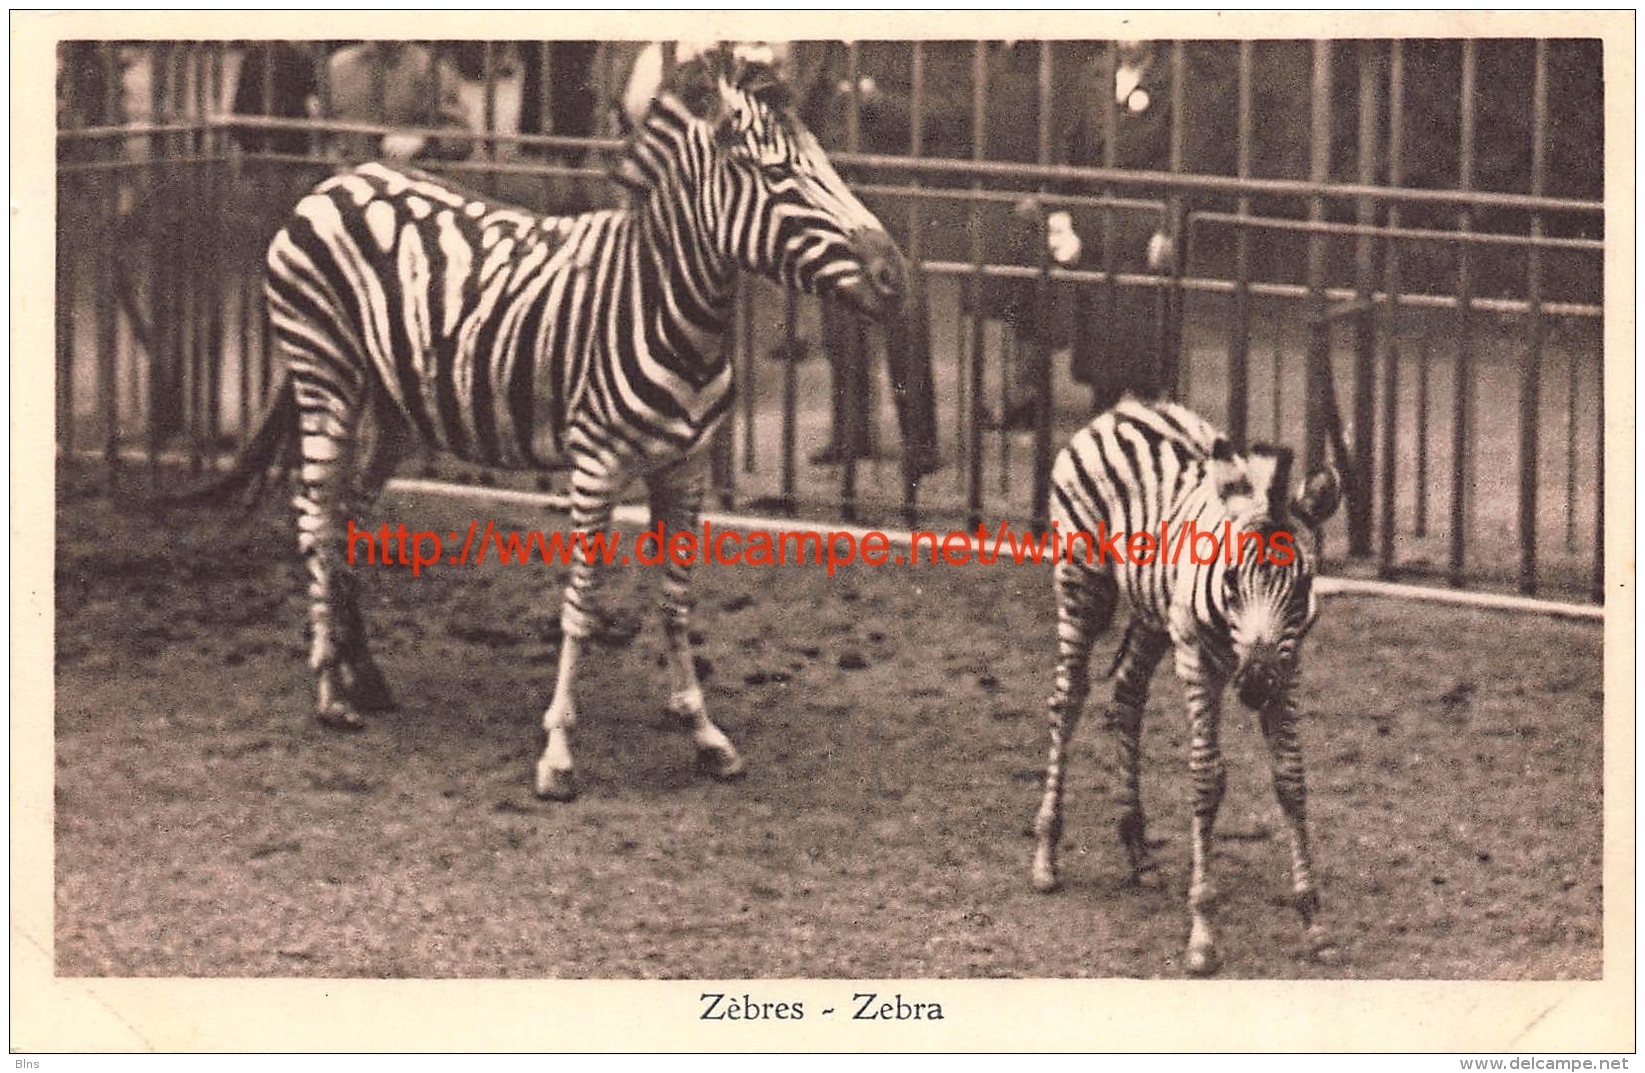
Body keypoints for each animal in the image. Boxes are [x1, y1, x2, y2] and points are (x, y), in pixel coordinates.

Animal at [190, 47, 906, 801]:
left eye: (824, 162)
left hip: (395, 408)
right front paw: (558, 751)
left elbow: (677, 602)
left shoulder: (683, 468)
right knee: (316, 518)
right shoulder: (595, 466)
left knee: (350, 517)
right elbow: (581, 604)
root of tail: (336, 181)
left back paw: (368, 677)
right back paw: (331, 691)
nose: (895, 276)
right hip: (323, 373)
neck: (665, 304)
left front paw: (704, 731)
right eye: (777, 176)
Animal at [1031, 397, 1342, 975]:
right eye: (1233, 581)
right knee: (1068, 700)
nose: (1254, 685)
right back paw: (1045, 855)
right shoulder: (1197, 657)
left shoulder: (1288, 665)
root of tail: (1124, 408)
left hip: (1152, 613)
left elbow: (1291, 778)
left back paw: (1138, 853)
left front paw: (1314, 923)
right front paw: (1202, 932)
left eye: (1303, 585)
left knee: (1126, 695)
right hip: (1084, 582)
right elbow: (1206, 777)